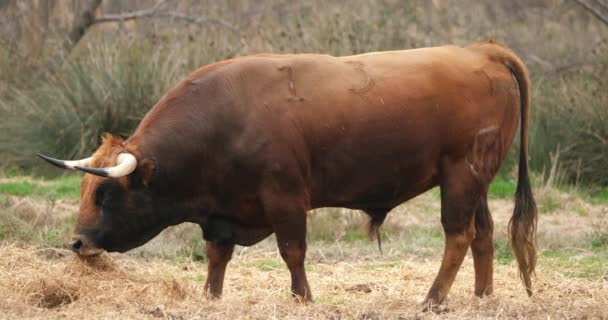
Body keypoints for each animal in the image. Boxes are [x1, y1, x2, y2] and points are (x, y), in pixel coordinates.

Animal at [39, 40, 536, 308]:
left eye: (105, 195)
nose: (77, 243)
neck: (224, 120)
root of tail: (480, 49)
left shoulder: (286, 198)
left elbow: (292, 252)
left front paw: (303, 298)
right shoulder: (222, 212)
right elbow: (217, 257)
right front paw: (210, 298)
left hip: (460, 178)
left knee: (458, 236)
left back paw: (432, 299)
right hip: (477, 181)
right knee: (483, 233)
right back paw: (482, 297)